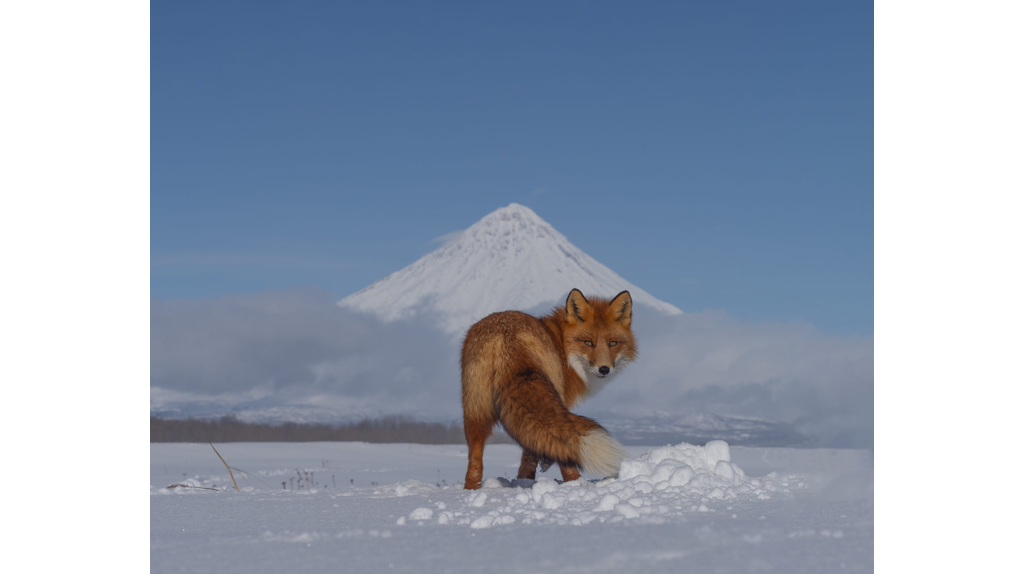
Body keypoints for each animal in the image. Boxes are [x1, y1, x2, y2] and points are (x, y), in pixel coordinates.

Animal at [460, 288, 634, 491]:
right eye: (588, 343)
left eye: (613, 343)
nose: (604, 369)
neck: (561, 344)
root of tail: (504, 335)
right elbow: (536, 452)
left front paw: (525, 479)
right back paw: (575, 483)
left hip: (474, 411)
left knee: (475, 457)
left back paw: (472, 488)